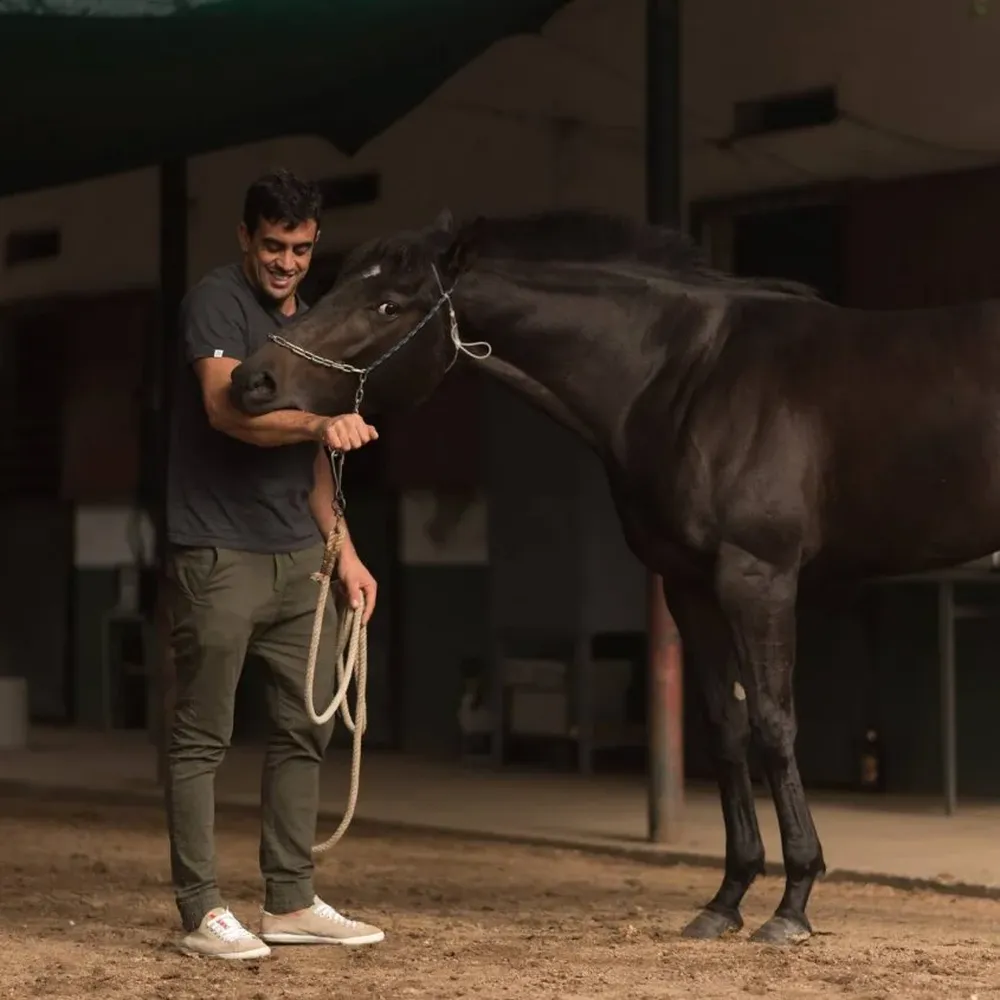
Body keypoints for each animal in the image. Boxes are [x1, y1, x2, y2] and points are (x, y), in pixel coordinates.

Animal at [229, 207, 1000, 945]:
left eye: (388, 304)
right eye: (332, 284)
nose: (250, 380)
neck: (689, 375)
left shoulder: (758, 577)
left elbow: (775, 727)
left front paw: (793, 903)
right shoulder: (688, 584)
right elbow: (726, 728)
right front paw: (727, 900)